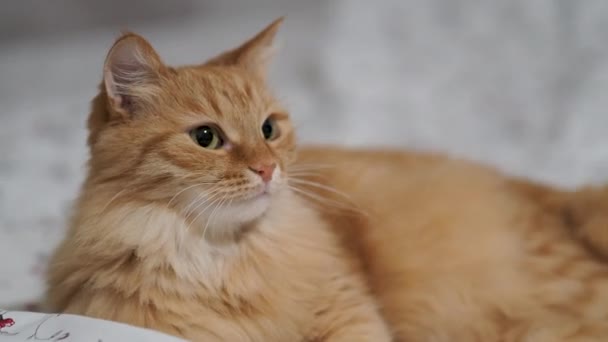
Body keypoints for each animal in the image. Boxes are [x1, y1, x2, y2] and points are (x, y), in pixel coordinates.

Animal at [45, 17, 608, 340]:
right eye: (206, 138)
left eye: (269, 129)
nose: (267, 169)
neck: (227, 259)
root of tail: (560, 196)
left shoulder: (347, 313)